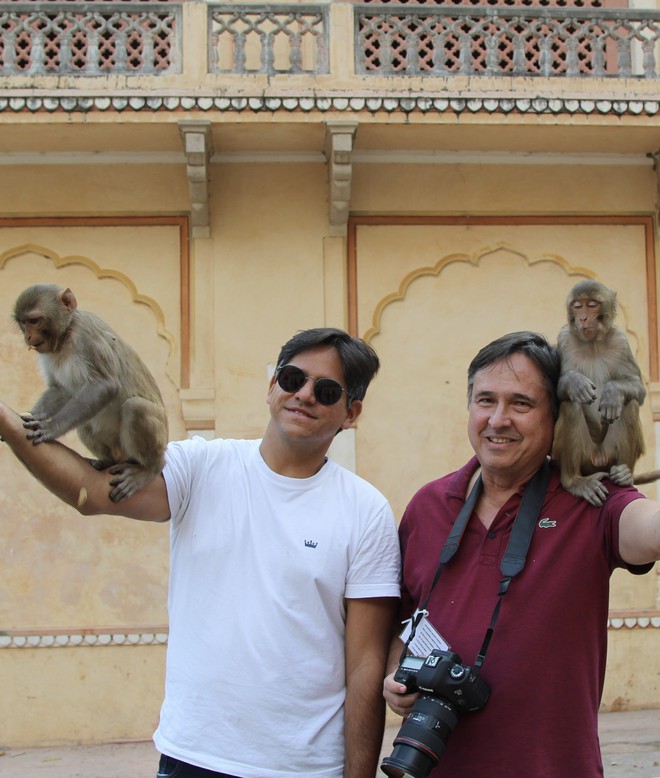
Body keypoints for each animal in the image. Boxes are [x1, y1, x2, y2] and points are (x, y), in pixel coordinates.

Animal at [13, 284, 169, 504]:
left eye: (34, 321)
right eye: (23, 323)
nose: (27, 336)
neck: (66, 335)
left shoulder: (87, 337)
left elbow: (105, 386)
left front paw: (50, 427)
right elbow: (60, 389)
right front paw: (32, 415)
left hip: (157, 437)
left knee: (135, 407)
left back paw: (149, 468)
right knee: (85, 422)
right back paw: (105, 461)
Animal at [548, 282, 652, 506]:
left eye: (592, 305)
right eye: (578, 306)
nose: (583, 318)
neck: (593, 342)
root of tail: (598, 458)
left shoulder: (621, 340)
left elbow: (638, 388)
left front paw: (612, 394)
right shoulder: (565, 338)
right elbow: (557, 392)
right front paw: (575, 382)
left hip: (610, 454)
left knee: (629, 404)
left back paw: (625, 474)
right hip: (581, 455)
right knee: (571, 405)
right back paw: (574, 481)